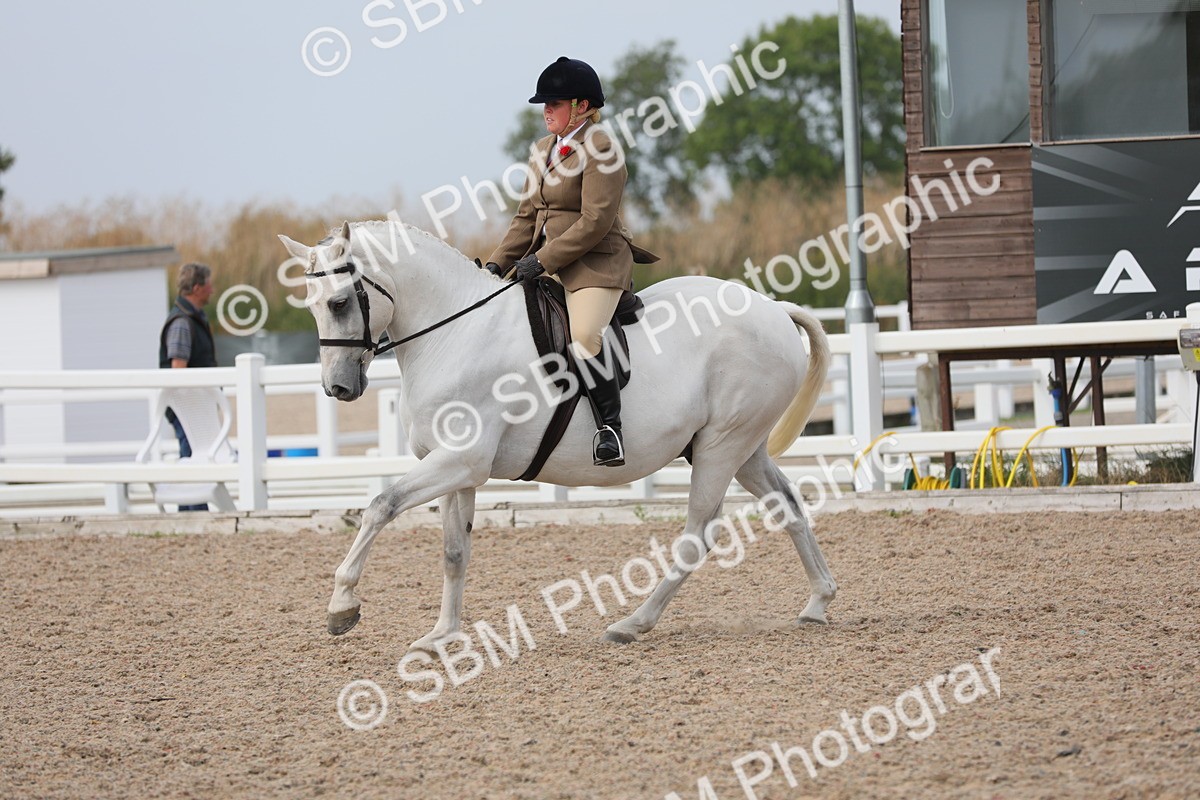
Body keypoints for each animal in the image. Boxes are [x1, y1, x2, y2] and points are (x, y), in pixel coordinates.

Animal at [277, 220, 837, 651]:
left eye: (341, 302)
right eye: (311, 305)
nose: (338, 388)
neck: (456, 334)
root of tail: (773, 307)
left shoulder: (459, 461)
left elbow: (380, 506)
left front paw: (342, 606)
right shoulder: (456, 469)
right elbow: (455, 551)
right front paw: (442, 635)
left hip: (722, 447)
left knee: (696, 536)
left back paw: (632, 624)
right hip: (743, 448)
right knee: (787, 503)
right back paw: (818, 601)